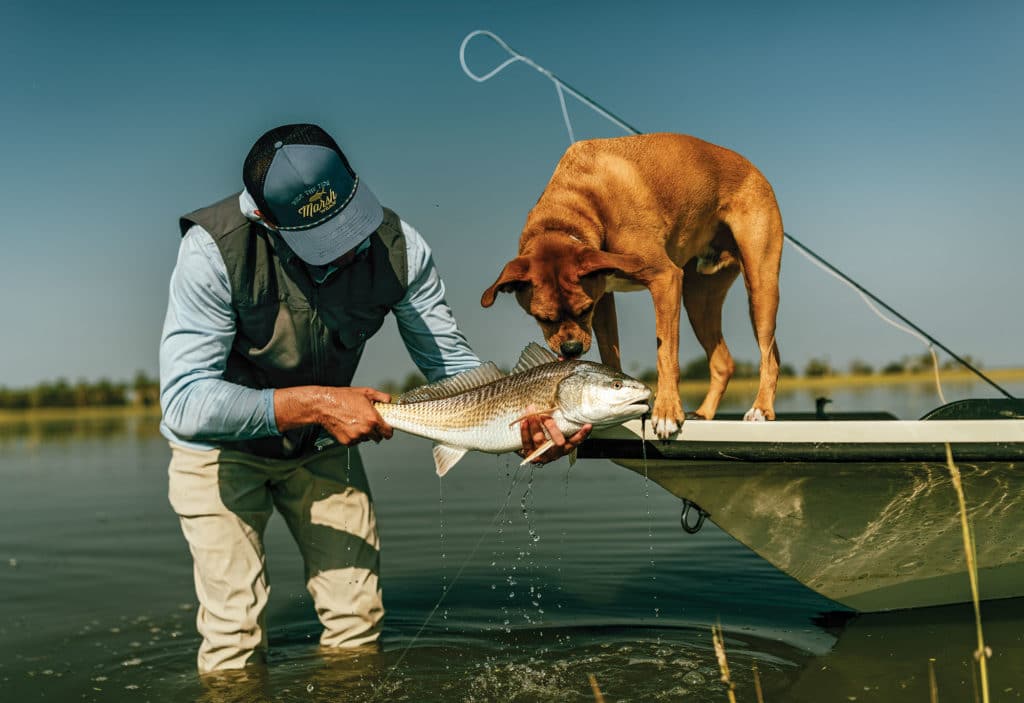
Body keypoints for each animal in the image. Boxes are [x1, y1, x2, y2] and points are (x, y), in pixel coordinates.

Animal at [479, 134, 782, 437]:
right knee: (723, 362)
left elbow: (666, 354)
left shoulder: (664, 279)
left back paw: (760, 409)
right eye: (542, 318)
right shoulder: (604, 299)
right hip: (699, 300)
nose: (571, 350)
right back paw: (704, 413)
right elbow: (609, 354)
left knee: (770, 355)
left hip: (760, 286)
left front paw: (667, 412)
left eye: (583, 310)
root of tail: (752, 168)